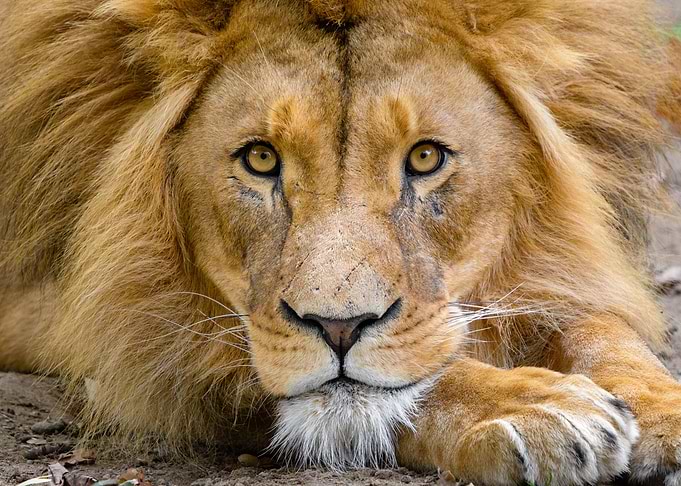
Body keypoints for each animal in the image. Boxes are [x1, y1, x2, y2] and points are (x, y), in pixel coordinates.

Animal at [1, 0, 681, 484]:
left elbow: (598, 328)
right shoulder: (89, 316)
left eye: (426, 157)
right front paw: (531, 406)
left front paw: (662, 412)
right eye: (261, 158)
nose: (339, 327)